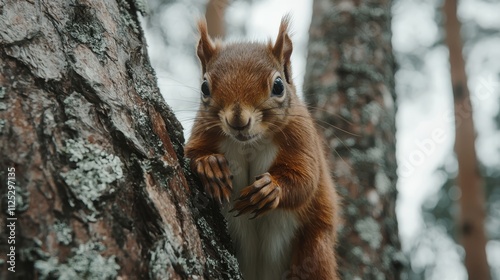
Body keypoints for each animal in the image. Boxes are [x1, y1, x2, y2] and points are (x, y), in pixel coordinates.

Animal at [185, 16, 340, 278]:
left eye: (278, 86)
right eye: (204, 87)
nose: (238, 121)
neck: (250, 144)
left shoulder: (301, 137)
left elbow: (305, 178)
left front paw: (270, 189)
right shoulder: (202, 131)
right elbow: (191, 153)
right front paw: (210, 166)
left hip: (314, 249)